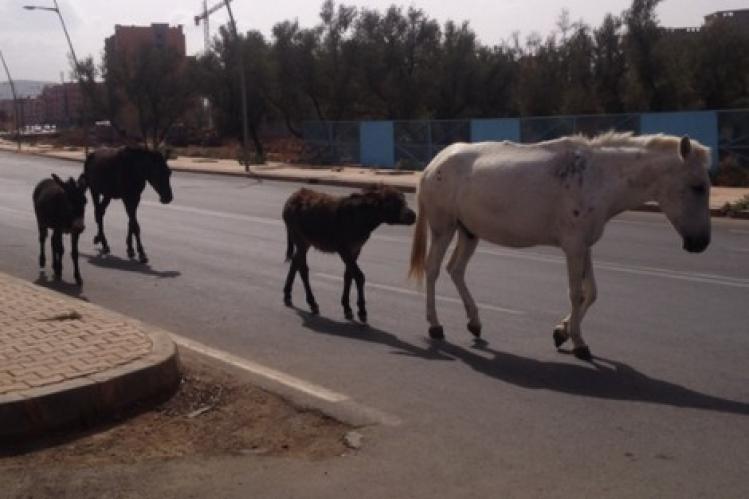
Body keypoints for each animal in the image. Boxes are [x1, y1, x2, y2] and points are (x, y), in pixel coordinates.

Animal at [412, 133, 712, 360]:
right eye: (697, 187)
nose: (701, 243)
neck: (598, 178)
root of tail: (433, 165)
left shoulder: (585, 246)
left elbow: (591, 293)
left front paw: (562, 331)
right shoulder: (574, 247)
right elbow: (576, 294)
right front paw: (578, 342)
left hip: (469, 232)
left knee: (456, 270)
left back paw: (474, 322)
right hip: (443, 229)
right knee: (433, 269)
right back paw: (435, 325)